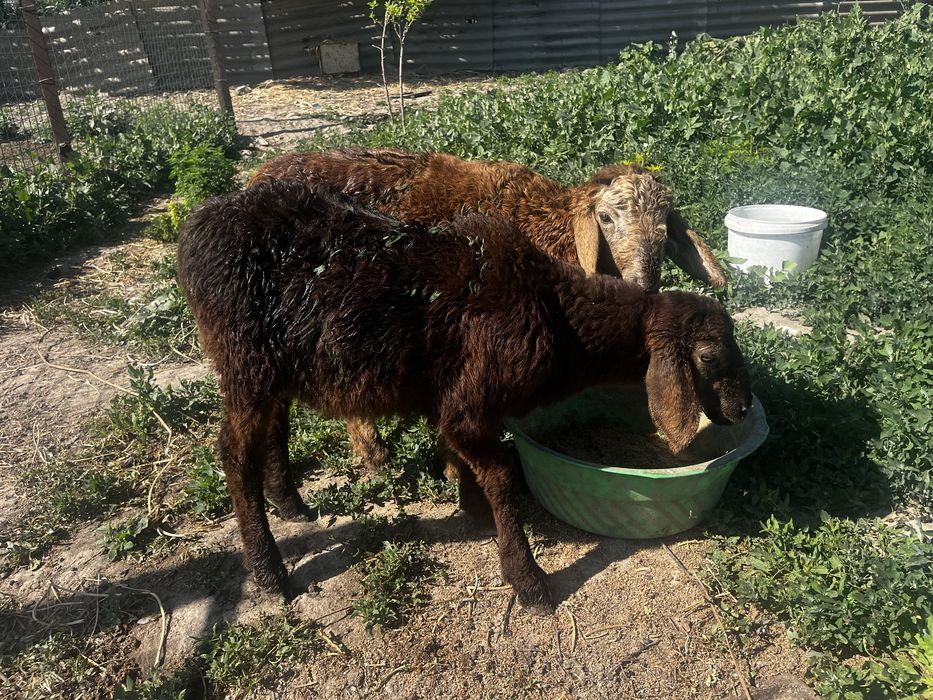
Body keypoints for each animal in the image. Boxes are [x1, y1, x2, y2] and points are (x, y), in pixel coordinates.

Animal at [176, 180, 751, 613]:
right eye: (708, 358)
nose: (743, 408)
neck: (556, 312)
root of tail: (199, 226)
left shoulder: (455, 401)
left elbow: (465, 460)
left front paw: (472, 512)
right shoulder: (470, 406)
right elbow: (500, 476)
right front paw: (527, 578)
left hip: (277, 363)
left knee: (275, 427)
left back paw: (291, 503)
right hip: (243, 358)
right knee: (234, 454)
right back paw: (270, 572)